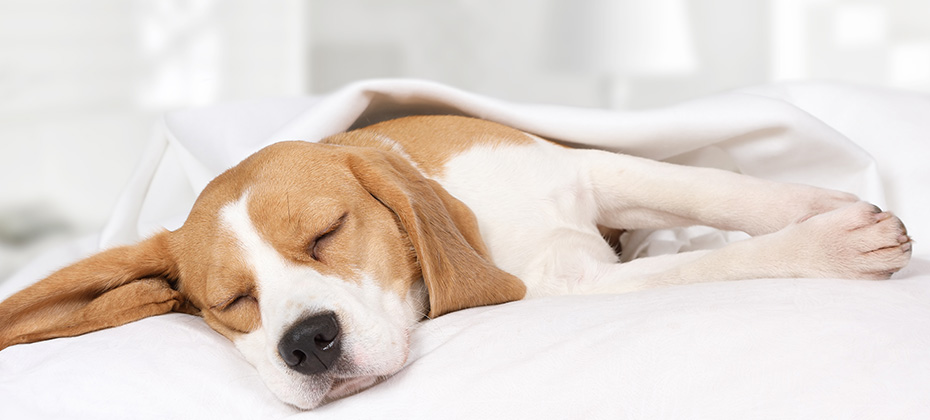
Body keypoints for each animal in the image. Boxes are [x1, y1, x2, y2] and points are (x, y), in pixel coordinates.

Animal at [0, 115, 908, 410]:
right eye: (233, 302)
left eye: (327, 233)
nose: (308, 344)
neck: (485, 232)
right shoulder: (572, 285)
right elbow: (701, 269)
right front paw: (826, 243)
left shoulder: (595, 168)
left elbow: (721, 187)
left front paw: (821, 210)